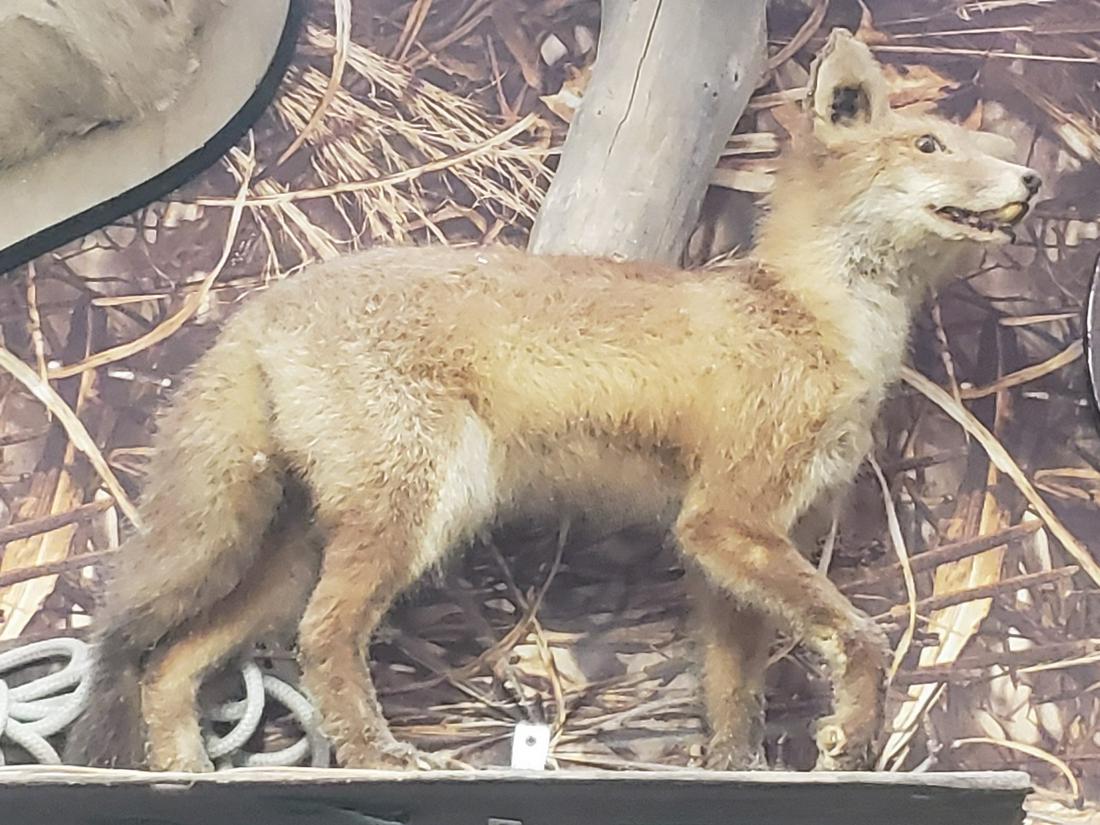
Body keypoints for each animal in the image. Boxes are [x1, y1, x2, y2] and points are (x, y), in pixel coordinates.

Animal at [63, 29, 1041, 774]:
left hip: (293, 550)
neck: (808, 317)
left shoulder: (732, 544)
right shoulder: (729, 517)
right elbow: (863, 634)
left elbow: (735, 694)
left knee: (169, 662)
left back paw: (184, 772)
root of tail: (264, 303)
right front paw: (854, 735)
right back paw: (378, 756)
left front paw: (743, 771)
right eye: (929, 147)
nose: (1032, 181)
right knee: (322, 637)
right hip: (417, 508)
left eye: (981, 146)